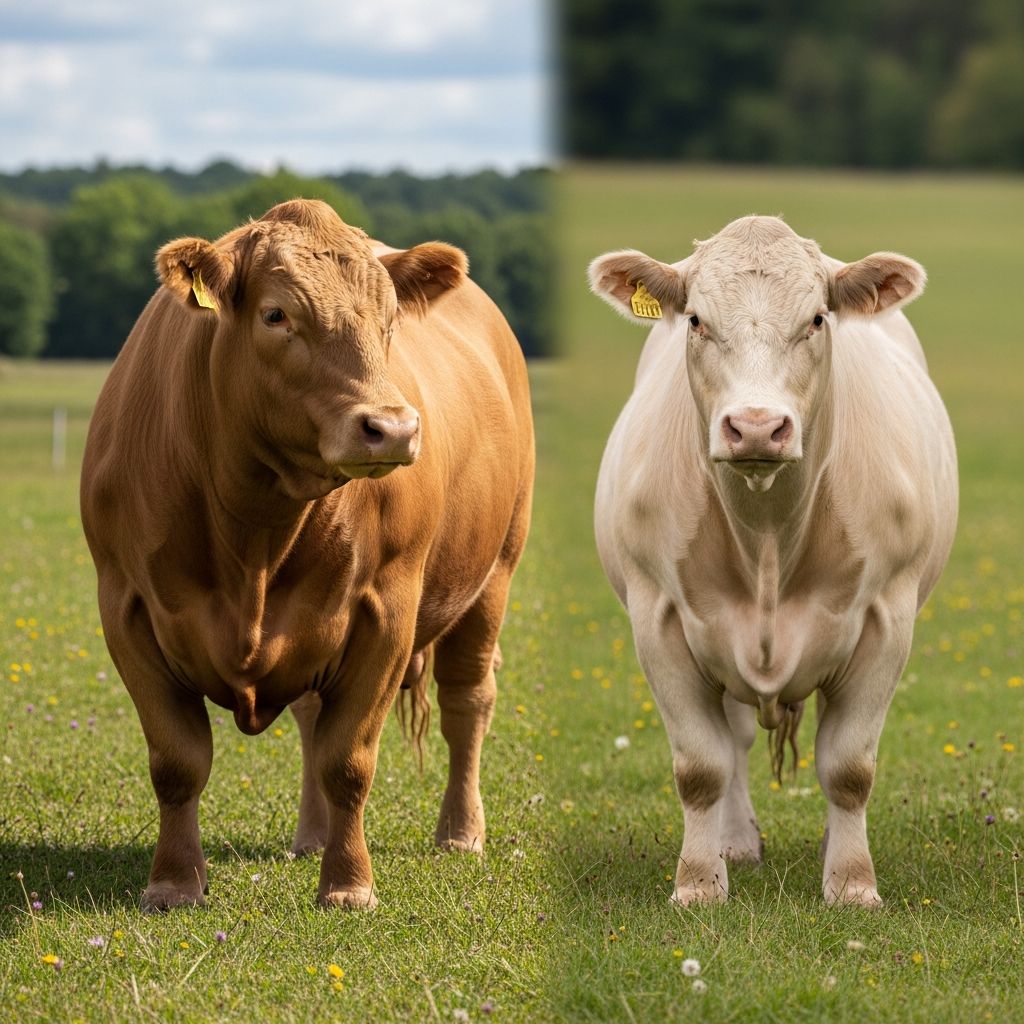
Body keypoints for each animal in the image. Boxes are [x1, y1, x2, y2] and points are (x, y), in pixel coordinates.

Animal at [80, 199, 534, 911]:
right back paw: (311, 836)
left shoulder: (387, 611)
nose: (393, 428)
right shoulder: (124, 606)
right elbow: (178, 760)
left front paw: (348, 886)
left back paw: (461, 833)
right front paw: (175, 883)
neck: (253, 535)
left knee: (468, 701)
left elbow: (348, 760)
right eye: (276, 315)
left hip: (495, 573)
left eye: (390, 320)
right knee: (312, 714)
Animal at [588, 216, 957, 907]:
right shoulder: (658, 617)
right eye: (696, 319)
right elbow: (701, 766)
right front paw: (699, 883)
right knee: (731, 742)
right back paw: (734, 842)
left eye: (816, 319)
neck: (765, 540)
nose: (757, 427)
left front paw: (851, 883)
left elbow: (849, 766)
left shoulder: (887, 616)